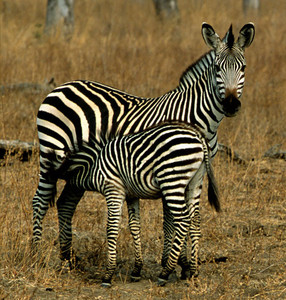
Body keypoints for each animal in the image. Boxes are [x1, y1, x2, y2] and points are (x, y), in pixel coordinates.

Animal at [62, 122, 219, 286]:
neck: (94, 164)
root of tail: (198, 136)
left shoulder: (113, 189)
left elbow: (111, 228)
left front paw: (108, 275)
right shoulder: (132, 195)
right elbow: (134, 225)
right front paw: (137, 269)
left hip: (172, 179)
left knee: (183, 221)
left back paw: (165, 272)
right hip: (195, 182)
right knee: (195, 221)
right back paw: (194, 272)